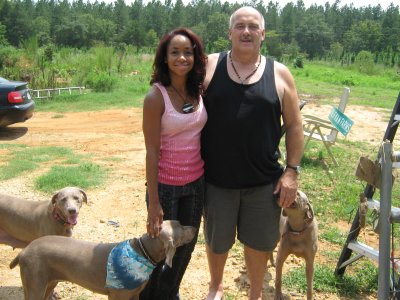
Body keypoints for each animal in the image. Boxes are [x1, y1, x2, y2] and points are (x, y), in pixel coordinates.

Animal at [9, 219, 197, 298]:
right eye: (180, 226)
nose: (195, 228)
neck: (142, 251)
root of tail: (24, 251)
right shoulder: (118, 295)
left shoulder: (134, 294)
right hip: (35, 283)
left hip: (49, 282)